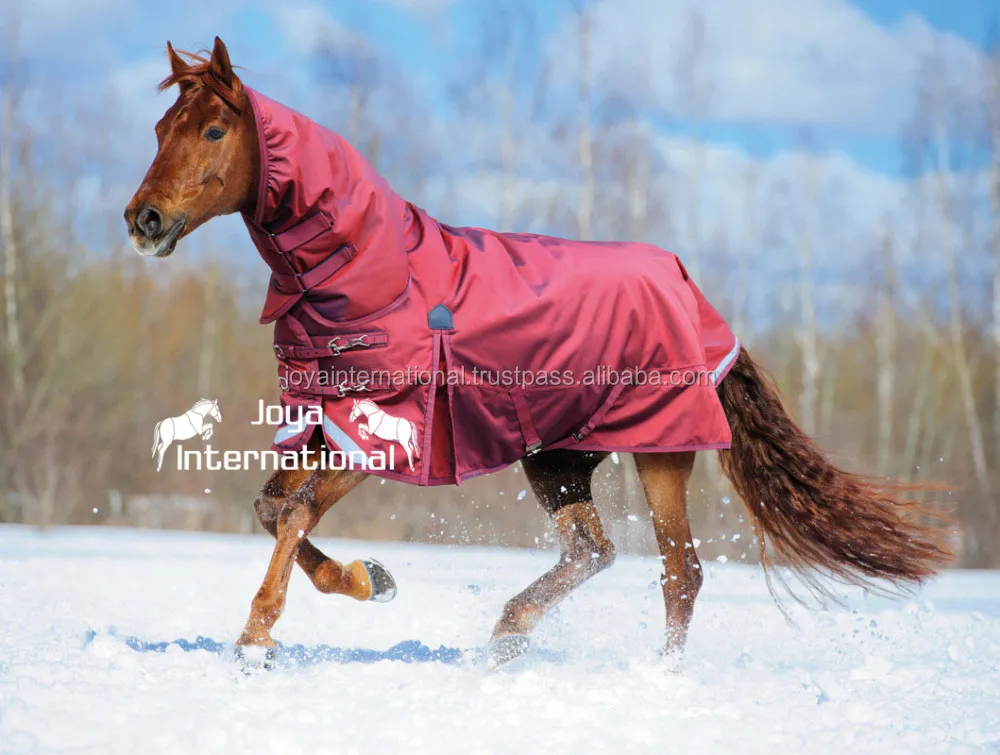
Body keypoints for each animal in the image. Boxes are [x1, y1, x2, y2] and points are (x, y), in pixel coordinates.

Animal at [124, 37, 952, 671]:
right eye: (161, 125)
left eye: (212, 131)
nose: (144, 218)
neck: (372, 270)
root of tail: (702, 306)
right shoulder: (326, 422)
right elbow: (271, 507)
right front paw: (374, 578)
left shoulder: (384, 432)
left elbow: (292, 510)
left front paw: (255, 638)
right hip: (557, 457)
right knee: (595, 551)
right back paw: (508, 633)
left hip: (659, 450)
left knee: (679, 571)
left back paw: (657, 674)